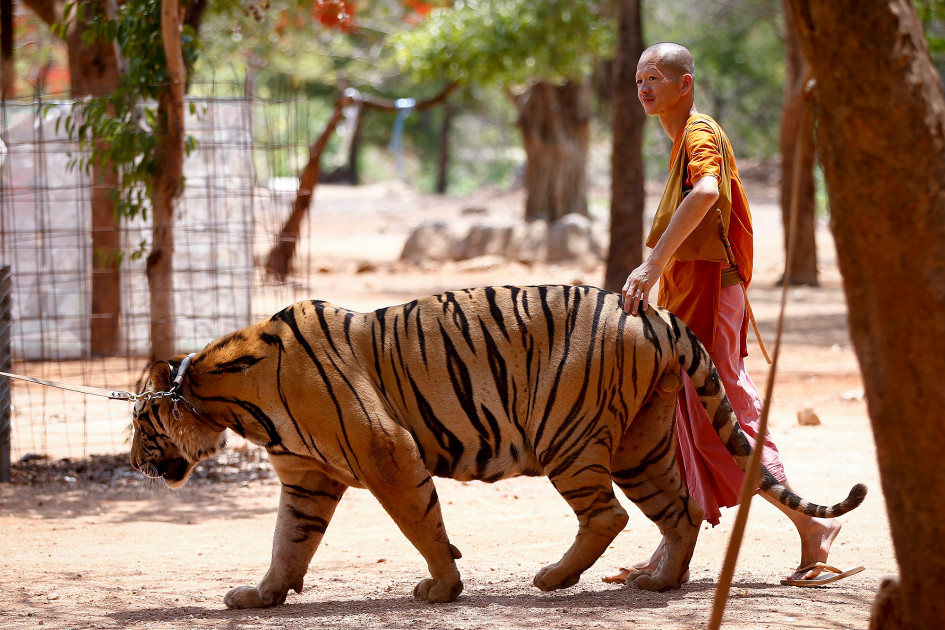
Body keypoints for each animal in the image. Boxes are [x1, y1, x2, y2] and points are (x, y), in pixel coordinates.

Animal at [129, 286, 868, 608]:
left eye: (139, 423)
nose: (135, 463)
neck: (228, 397)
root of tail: (652, 311)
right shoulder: (306, 478)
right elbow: (288, 541)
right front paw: (261, 595)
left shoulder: (387, 451)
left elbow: (422, 524)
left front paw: (442, 587)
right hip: (644, 441)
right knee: (681, 509)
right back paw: (658, 582)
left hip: (566, 435)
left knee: (608, 514)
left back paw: (555, 578)